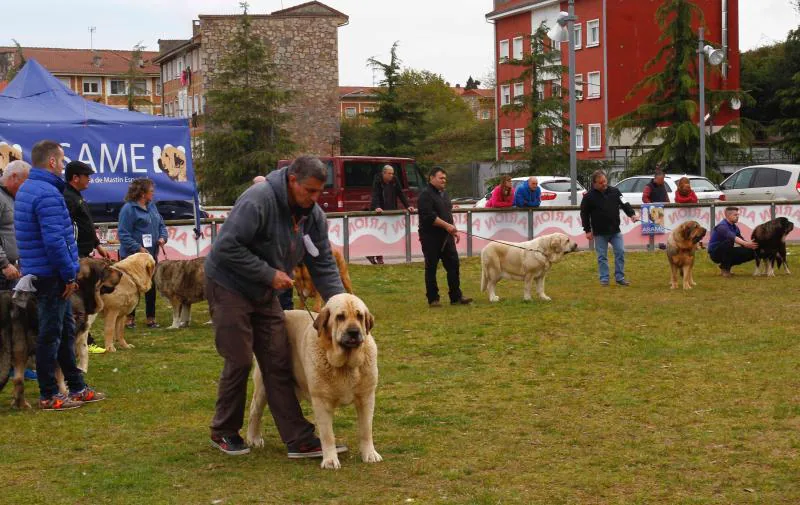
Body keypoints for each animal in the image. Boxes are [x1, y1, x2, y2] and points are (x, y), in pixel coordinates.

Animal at [244, 292, 382, 468]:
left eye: (360, 316)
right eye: (340, 317)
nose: (353, 332)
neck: (345, 365)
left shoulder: (367, 397)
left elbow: (366, 430)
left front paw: (369, 454)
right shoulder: (321, 401)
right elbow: (327, 435)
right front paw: (330, 460)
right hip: (264, 385)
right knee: (255, 410)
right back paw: (253, 438)